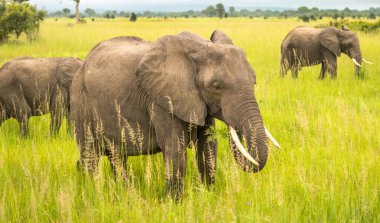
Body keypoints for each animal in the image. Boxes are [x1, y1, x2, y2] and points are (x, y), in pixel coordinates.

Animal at [71, 29, 280, 199]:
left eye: (254, 81)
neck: (199, 47)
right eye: (216, 86)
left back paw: (123, 193)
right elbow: (175, 150)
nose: (233, 128)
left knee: (117, 157)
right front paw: (175, 205)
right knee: (90, 155)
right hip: (80, 101)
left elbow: (208, 148)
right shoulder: (162, 100)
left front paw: (209, 198)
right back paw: (93, 192)